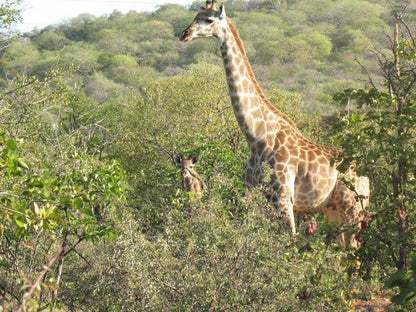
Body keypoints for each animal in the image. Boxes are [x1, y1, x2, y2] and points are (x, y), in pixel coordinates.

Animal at [180, 0, 368, 246]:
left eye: (209, 20)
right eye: (195, 16)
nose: (185, 34)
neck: (256, 137)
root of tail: (366, 174)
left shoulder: (282, 199)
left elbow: (289, 245)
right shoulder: (252, 194)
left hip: (353, 209)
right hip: (333, 209)